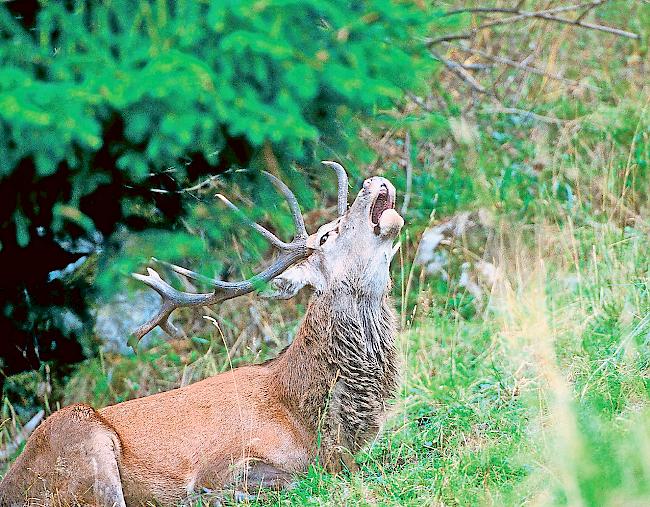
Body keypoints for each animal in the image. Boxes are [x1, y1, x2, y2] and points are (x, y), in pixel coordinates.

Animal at [0, 161, 402, 506]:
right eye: (327, 235)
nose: (370, 182)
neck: (310, 422)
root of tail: (10, 487)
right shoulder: (225, 462)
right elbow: (293, 479)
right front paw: (211, 497)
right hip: (81, 437)